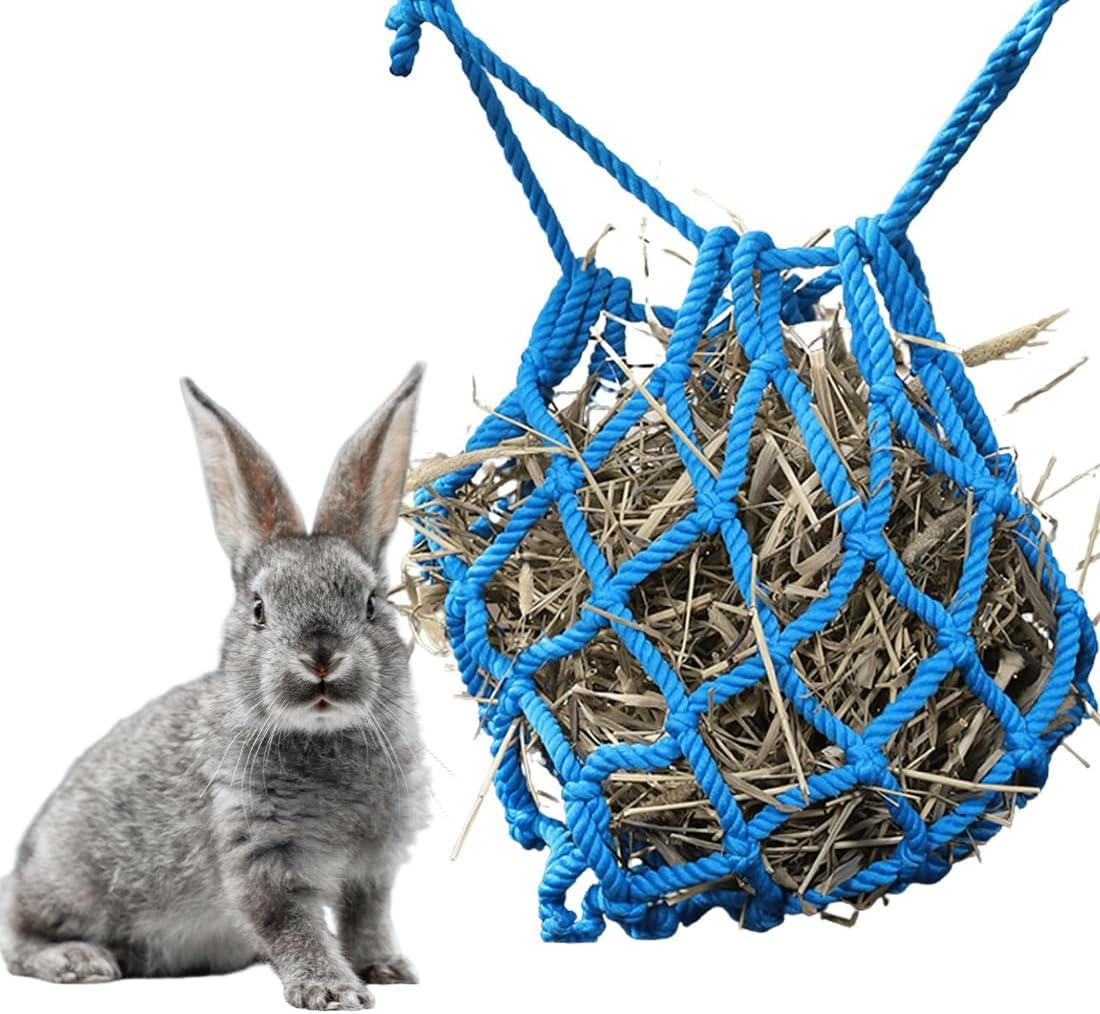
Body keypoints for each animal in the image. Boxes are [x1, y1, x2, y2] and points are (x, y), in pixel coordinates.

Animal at [0, 365, 430, 1010]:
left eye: (372, 604)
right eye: (258, 609)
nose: (321, 658)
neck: (321, 736)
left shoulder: (372, 867)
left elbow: (366, 919)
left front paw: (387, 970)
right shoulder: (259, 853)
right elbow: (291, 923)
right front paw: (332, 990)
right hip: (67, 883)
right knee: (15, 932)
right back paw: (78, 961)